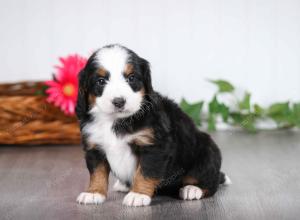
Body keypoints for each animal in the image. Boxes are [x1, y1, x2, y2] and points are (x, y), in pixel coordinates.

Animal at [75, 44, 230, 206]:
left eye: (131, 78)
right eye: (100, 81)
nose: (119, 101)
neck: (115, 121)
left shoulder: (154, 146)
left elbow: (145, 171)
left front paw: (138, 194)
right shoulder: (94, 147)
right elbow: (97, 172)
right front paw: (93, 192)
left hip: (208, 151)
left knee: (210, 183)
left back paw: (192, 189)